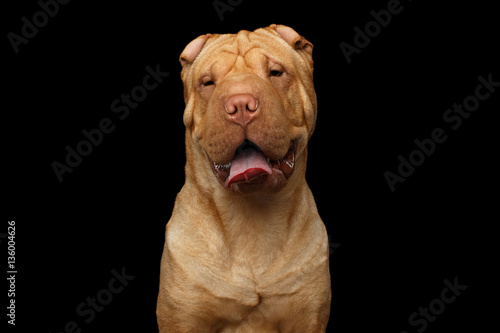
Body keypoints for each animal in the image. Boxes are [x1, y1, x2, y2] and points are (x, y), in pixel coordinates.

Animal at [157, 24, 332, 332]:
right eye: (208, 83)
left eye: (275, 72)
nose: (240, 105)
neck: (251, 221)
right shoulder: (181, 318)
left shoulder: (308, 318)